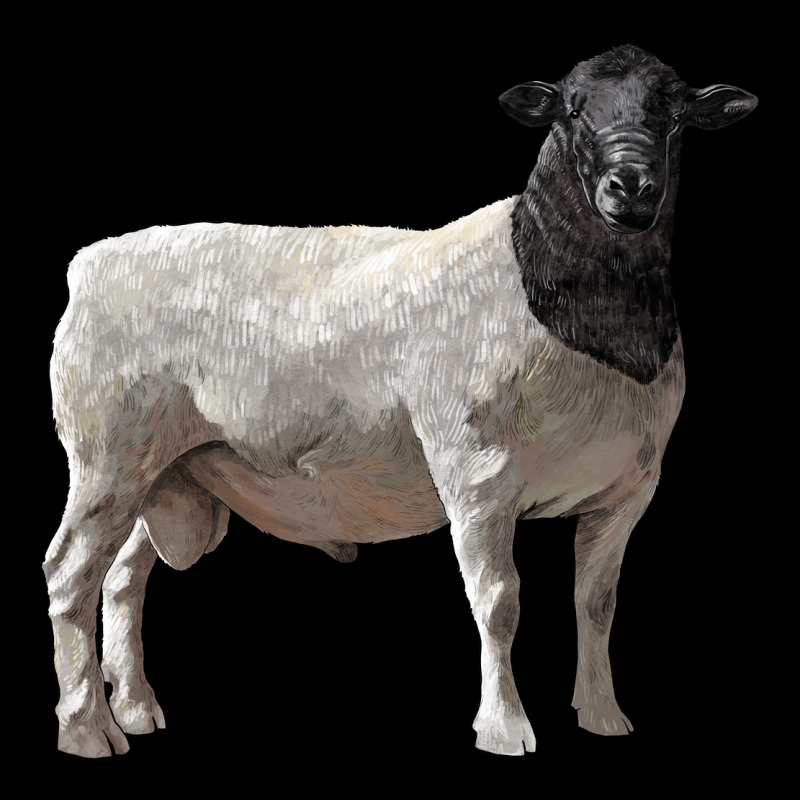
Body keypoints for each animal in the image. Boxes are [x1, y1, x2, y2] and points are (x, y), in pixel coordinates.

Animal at [44, 45, 757, 758]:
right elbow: (499, 602)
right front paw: (505, 728)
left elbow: (596, 603)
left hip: (165, 470)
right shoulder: (476, 472)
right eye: (573, 110)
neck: (595, 323)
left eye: (673, 114)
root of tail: (91, 262)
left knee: (122, 579)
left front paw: (604, 714)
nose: (630, 186)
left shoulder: (629, 489)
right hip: (106, 458)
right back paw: (88, 729)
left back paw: (136, 707)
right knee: (69, 576)